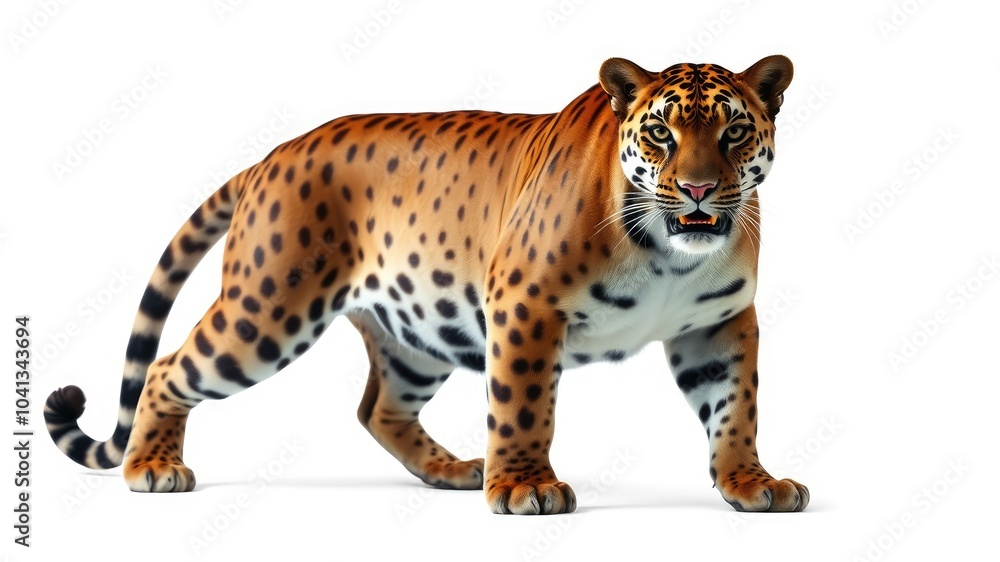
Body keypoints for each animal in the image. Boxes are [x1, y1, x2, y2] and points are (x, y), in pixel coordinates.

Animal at [45, 55, 808, 514]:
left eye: (734, 132)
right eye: (660, 134)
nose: (699, 188)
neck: (671, 256)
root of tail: (272, 155)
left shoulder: (720, 324)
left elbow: (735, 408)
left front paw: (752, 483)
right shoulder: (525, 306)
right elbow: (524, 406)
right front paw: (524, 486)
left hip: (419, 331)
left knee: (378, 408)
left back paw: (453, 470)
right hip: (268, 310)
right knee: (168, 367)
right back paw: (152, 468)